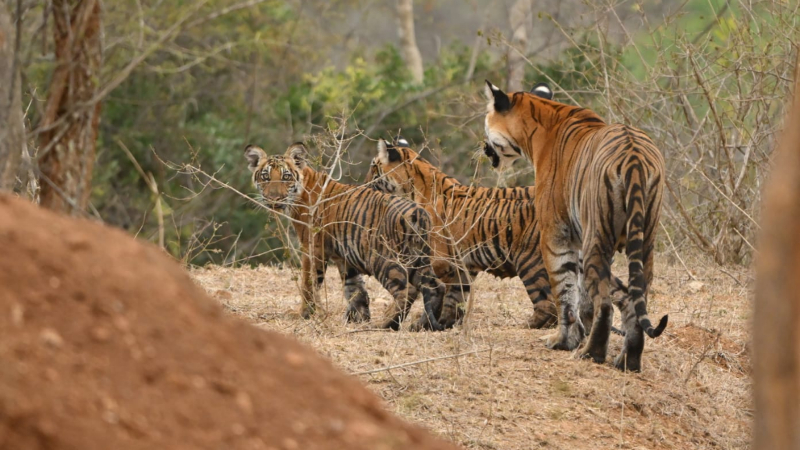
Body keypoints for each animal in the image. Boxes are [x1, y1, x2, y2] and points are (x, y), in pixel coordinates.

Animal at [245, 142, 446, 331]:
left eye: (286, 177)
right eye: (265, 177)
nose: (274, 199)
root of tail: (418, 212)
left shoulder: (313, 248)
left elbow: (309, 283)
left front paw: (304, 314)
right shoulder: (344, 256)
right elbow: (355, 289)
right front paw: (356, 319)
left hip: (383, 258)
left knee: (408, 291)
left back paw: (386, 324)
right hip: (418, 258)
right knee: (436, 286)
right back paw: (424, 325)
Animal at [482, 80, 668, 372]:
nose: (483, 147)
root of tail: (634, 156)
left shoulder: (555, 235)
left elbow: (565, 291)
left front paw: (563, 341)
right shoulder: (578, 239)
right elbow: (583, 292)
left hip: (598, 238)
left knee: (604, 302)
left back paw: (591, 354)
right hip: (645, 240)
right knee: (640, 294)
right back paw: (629, 359)